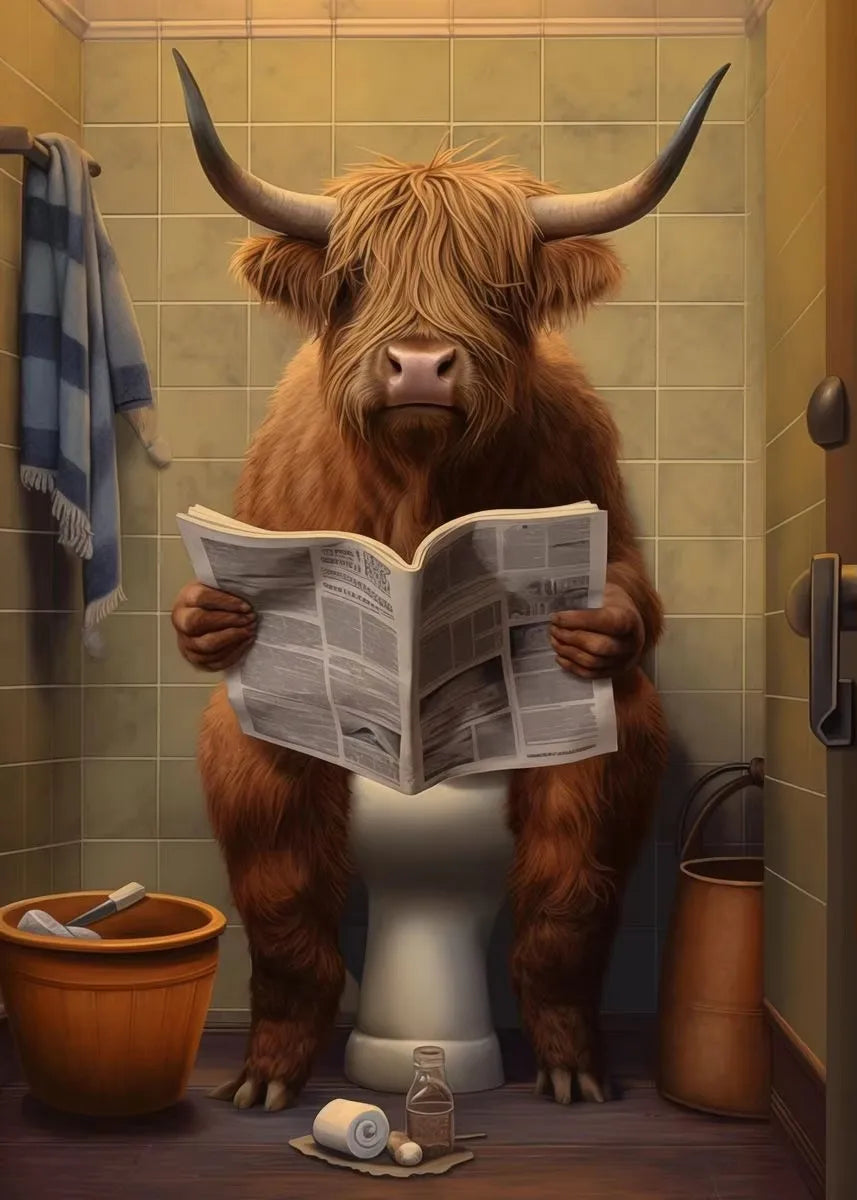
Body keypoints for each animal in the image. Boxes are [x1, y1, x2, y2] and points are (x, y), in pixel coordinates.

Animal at [169, 50, 728, 1112]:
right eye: (353, 280)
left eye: (495, 284)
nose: (420, 365)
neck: (420, 493)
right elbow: (279, 897)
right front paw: (268, 1074)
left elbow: (569, 893)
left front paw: (571, 1064)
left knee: (563, 892)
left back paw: (567, 1063)